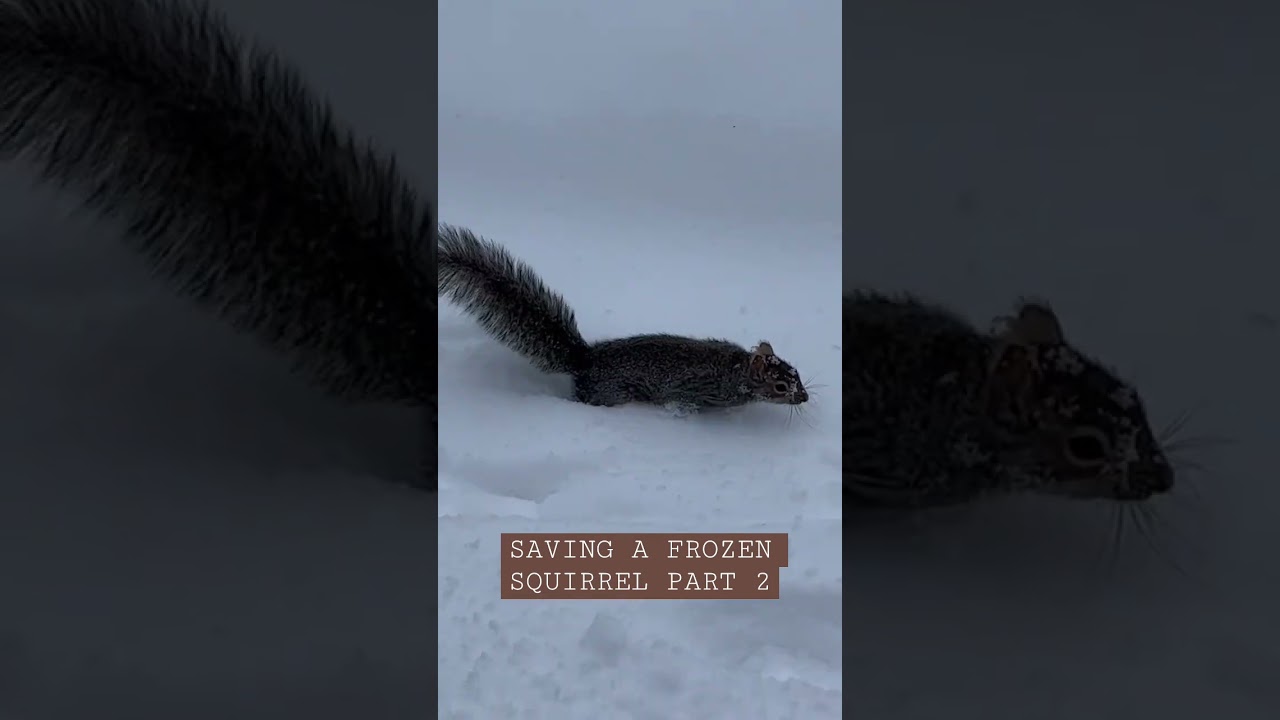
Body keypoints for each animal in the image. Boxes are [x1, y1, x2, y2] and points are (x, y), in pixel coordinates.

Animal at [437, 224, 809, 413]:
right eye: (780, 387)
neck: (737, 371)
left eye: (796, 372)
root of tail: (585, 360)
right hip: (610, 394)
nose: (804, 397)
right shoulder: (699, 390)